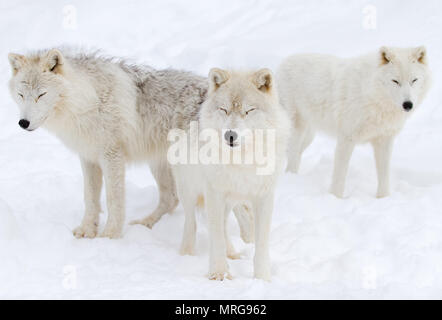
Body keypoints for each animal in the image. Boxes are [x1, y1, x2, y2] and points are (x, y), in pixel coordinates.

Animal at [6, 47, 209, 238]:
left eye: (41, 94)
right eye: (21, 95)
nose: (23, 123)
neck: (86, 103)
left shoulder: (112, 156)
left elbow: (113, 199)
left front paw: (110, 235)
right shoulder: (88, 157)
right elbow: (90, 198)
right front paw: (87, 230)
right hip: (160, 165)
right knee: (171, 199)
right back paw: (145, 223)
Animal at [172, 68, 290, 280]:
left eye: (248, 110)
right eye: (224, 109)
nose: (230, 135)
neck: (242, 160)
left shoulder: (263, 196)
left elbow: (260, 243)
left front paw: (262, 278)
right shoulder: (214, 193)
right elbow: (216, 236)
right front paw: (219, 274)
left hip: (229, 201)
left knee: (223, 225)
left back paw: (233, 254)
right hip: (189, 190)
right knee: (192, 223)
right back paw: (186, 254)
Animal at [278, 47, 430, 198]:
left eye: (414, 80)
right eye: (395, 81)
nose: (408, 105)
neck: (372, 95)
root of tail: (284, 62)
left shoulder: (384, 140)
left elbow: (384, 175)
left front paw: (383, 197)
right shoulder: (346, 138)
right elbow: (339, 175)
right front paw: (335, 198)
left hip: (309, 137)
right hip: (296, 131)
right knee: (291, 157)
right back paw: (291, 178)